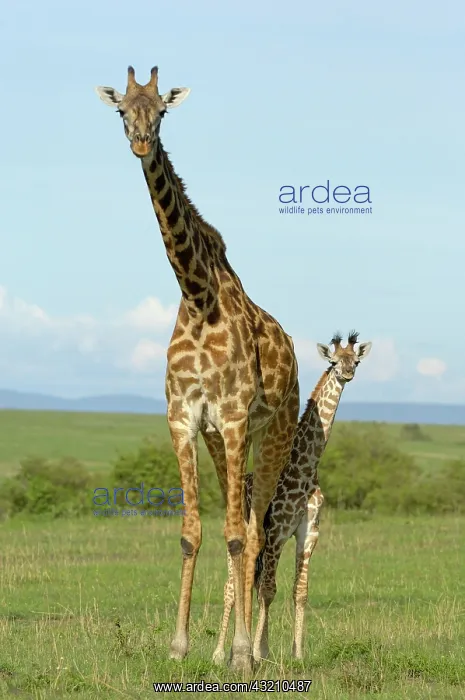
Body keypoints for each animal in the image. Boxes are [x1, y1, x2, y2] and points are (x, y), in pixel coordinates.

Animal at [95, 66, 300, 671]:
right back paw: (225, 650)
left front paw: (242, 654)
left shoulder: (232, 419)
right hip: (221, 441)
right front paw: (180, 645)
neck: (197, 293)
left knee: (256, 534)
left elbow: (235, 535)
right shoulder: (184, 419)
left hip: (271, 435)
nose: (141, 143)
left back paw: (253, 651)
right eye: (123, 111)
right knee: (246, 527)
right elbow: (192, 532)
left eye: (162, 111)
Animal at [212, 331, 372, 664]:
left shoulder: (308, 532)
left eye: (357, 360)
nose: (346, 373)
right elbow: (268, 590)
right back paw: (220, 653)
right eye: (333, 361)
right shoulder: (276, 531)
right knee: (232, 587)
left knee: (249, 580)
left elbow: (300, 591)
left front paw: (296, 652)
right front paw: (259, 652)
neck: (306, 468)